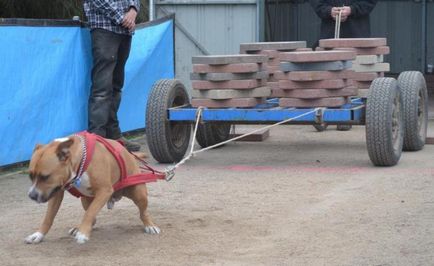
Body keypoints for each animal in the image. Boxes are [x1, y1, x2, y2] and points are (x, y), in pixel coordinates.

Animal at [24, 136, 159, 244]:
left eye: (45, 177)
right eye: (30, 176)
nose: (31, 195)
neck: (80, 163)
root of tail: (129, 154)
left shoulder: (104, 191)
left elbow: (90, 212)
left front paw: (83, 233)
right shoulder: (56, 193)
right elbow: (49, 217)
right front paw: (39, 234)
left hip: (138, 193)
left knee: (143, 212)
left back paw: (150, 225)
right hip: (85, 199)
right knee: (92, 217)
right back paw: (78, 227)